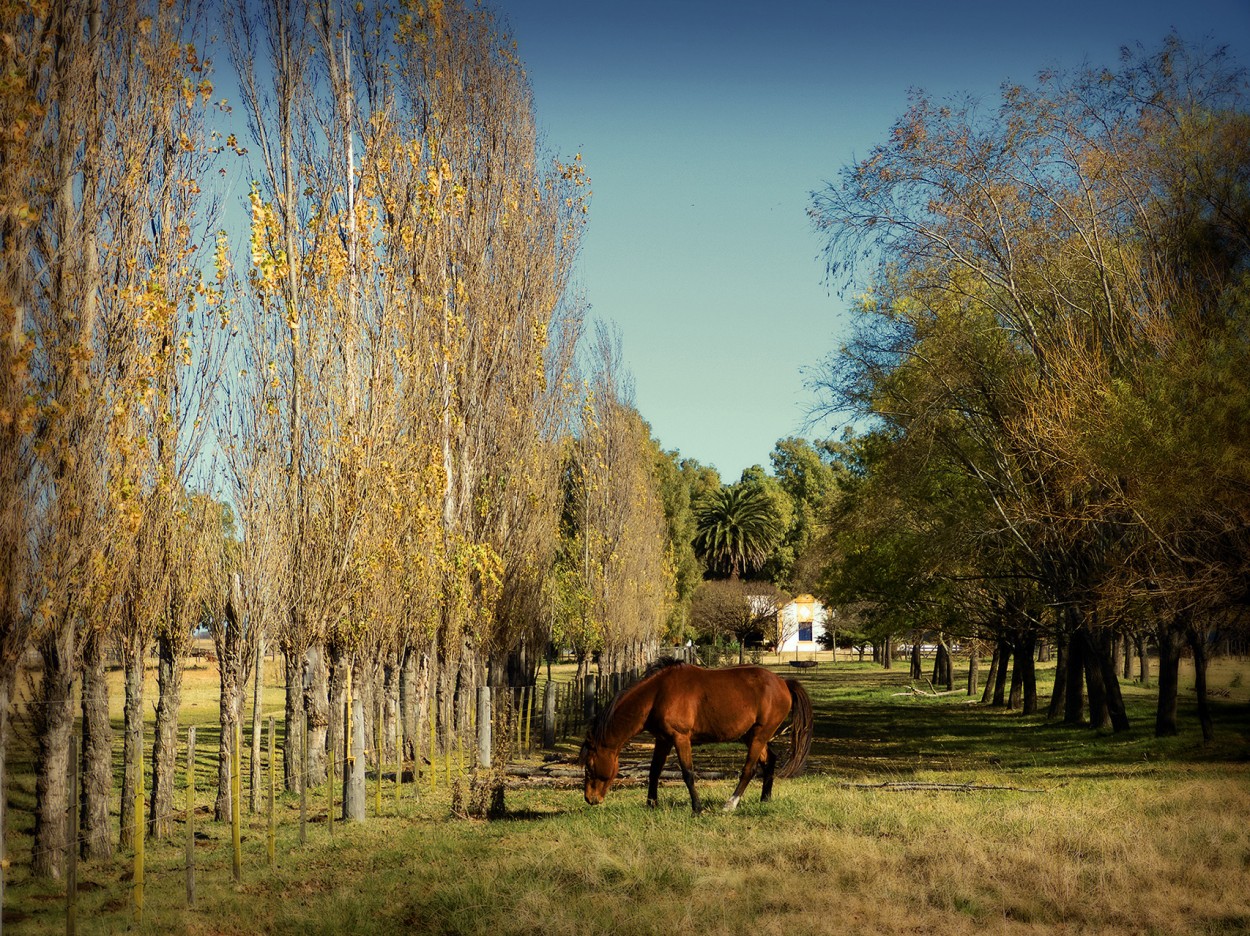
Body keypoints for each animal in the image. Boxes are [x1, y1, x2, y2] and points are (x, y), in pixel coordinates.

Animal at [575, 654, 810, 809]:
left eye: (590, 767)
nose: (590, 799)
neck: (657, 695)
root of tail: (783, 683)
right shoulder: (663, 740)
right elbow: (654, 771)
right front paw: (651, 804)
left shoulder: (680, 738)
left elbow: (688, 773)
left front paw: (697, 807)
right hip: (751, 736)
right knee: (769, 761)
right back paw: (765, 799)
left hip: (759, 735)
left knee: (749, 770)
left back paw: (730, 804)